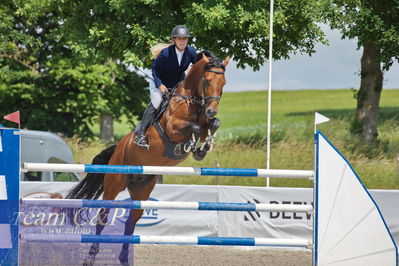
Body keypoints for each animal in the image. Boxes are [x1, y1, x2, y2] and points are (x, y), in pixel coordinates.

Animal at [64, 50, 230, 266]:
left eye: (224, 82)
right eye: (207, 80)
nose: (211, 110)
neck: (191, 100)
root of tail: (118, 148)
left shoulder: (205, 125)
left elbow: (212, 125)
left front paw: (202, 149)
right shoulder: (173, 129)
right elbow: (193, 127)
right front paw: (190, 146)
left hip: (142, 190)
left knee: (131, 221)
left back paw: (124, 259)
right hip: (114, 184)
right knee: (103, 216)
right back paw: (90, 258)